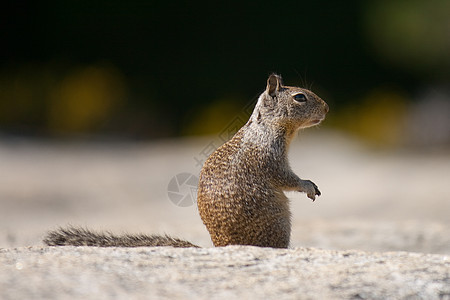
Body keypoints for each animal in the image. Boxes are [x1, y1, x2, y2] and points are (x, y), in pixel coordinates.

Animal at [44, 74, 328, 248]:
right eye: (300, 97)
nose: (326, 109)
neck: (267, 126)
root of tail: (219, 247)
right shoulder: (270, 155)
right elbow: (285, 177)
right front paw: (307, 185)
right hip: (280, 223)